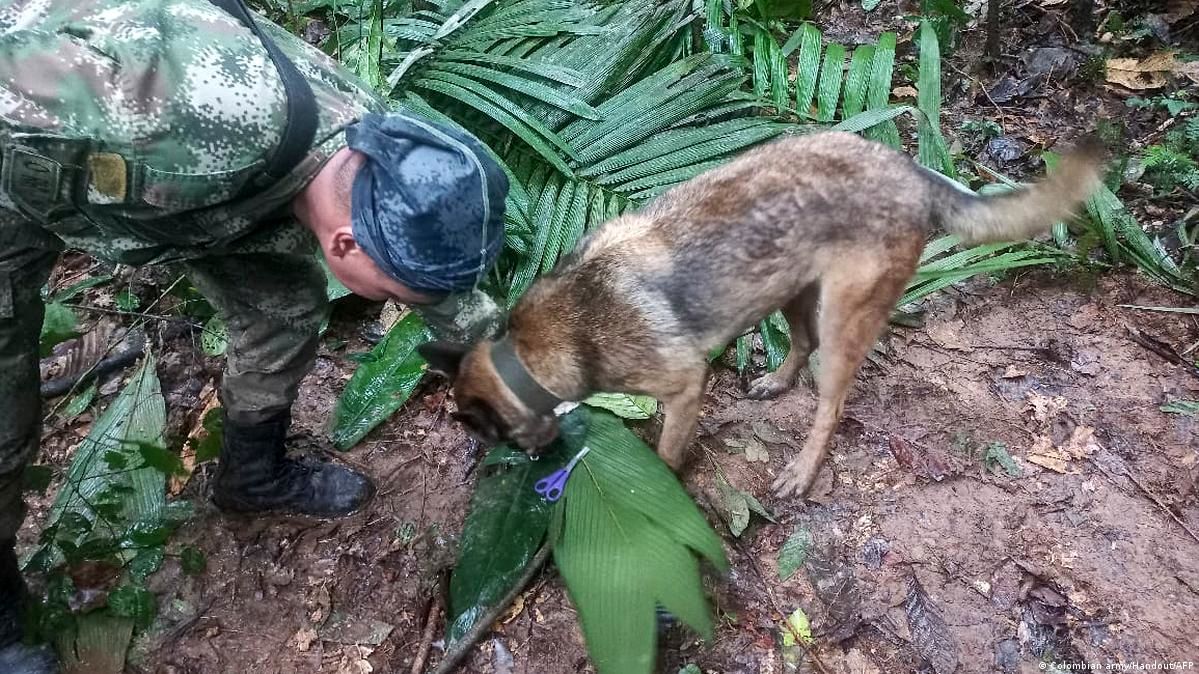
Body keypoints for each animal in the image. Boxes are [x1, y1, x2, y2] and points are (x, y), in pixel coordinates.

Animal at [422, 131, 1103, 496]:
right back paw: (776, 382)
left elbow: (667, 452)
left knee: (831, 404)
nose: (536, 465)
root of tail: (912, 171)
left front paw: (661, 484)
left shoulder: (684, 385)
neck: (529, 351)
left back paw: (802, 469)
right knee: (799, 346)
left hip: (842, 317)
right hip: (790, 291)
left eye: (489, 435)